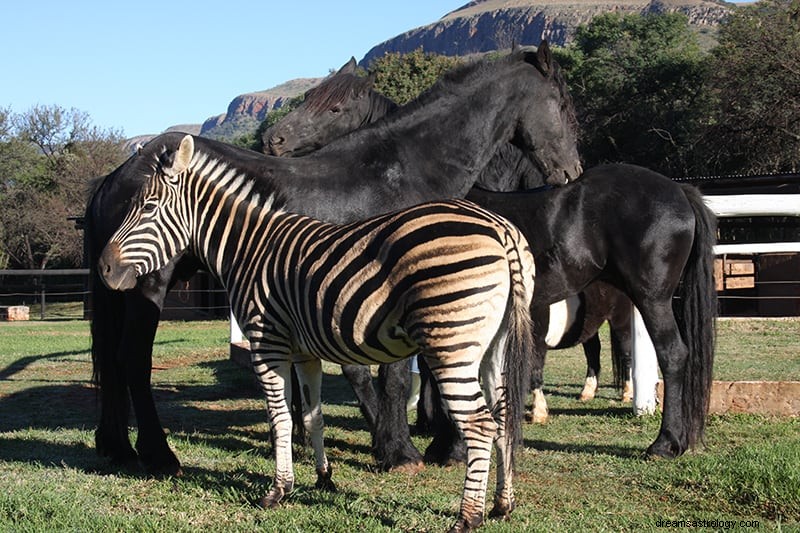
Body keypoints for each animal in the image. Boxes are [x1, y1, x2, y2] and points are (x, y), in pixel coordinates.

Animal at [86, 44, 580, 474]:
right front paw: (401, 451)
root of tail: (116, 174)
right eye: (563, 104)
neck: (400, 171)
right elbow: (394, 377)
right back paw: (159, 454)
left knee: (112, 360)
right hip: (146, 285)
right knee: (133, 360)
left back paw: (118, 447)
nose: (573, 170)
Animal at [98, 134, 536, 532]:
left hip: (451, 343)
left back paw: (468, 518)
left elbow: (279, 418)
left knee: (480, 424)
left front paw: (278, 491)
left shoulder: (267, 343)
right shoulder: (303, 352)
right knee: (503, 416)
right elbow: (312, 417)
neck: (249, 247)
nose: (104, 269)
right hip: (493, 345)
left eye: (148, 208)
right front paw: (323, 479)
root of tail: (500, 229)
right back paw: (503, 505)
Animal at [264, 63, 720, 462]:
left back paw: (666, 443)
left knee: (673, 355)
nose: (274, 140)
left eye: (335, 108)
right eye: (309, 97)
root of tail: (679, 191)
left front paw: (447, 443)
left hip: (651, 298)